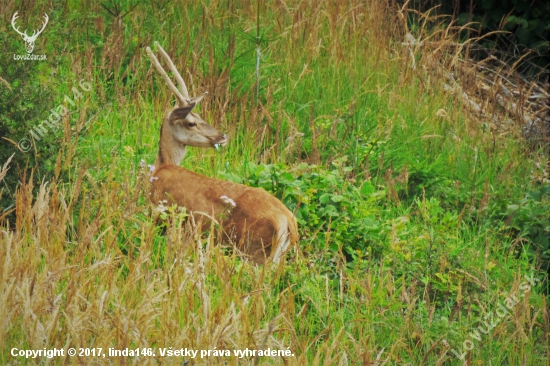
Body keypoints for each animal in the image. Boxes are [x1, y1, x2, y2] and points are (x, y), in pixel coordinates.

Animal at [143, 44, 298, 264]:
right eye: (192, 122)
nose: (222, 136)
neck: (160, 167)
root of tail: (289, 224)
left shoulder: (159, 213)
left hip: (254, 251)